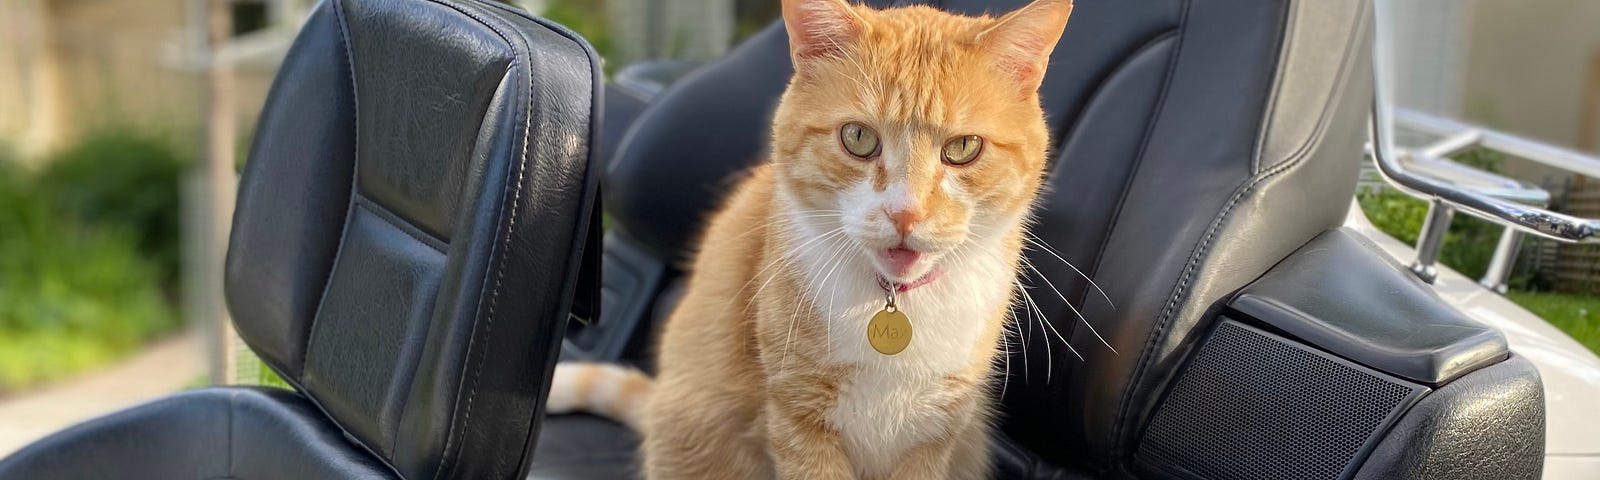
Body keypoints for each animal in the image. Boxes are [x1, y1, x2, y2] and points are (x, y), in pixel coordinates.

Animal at [550, 0, 1075, 476]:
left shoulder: (934, 438)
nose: (905, 214)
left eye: (964, 148)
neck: (892, 301)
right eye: (858, 138)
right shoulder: (797, 420)